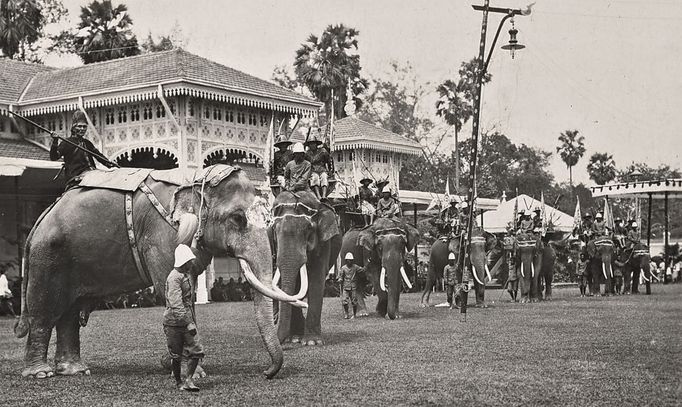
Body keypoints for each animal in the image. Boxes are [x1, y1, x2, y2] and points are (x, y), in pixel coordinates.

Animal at [11, 165, 300, 380]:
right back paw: (40, 374)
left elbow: (187, 288)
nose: (266, 373)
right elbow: (169, 287)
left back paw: (76, 371)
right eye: (238, 219)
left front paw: (178, 363)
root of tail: (43, 215)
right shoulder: (163, 233)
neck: (196, 180)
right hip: (48, 257)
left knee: (69, 316)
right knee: (45, 312)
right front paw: (191, 371)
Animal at [266, 190, 338, 346]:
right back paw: (295, 337)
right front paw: (294, 339)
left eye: (309, 229)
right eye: (274, 229)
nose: (280, 342)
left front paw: (312, 342)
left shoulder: (324, 242)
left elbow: (317, 278)